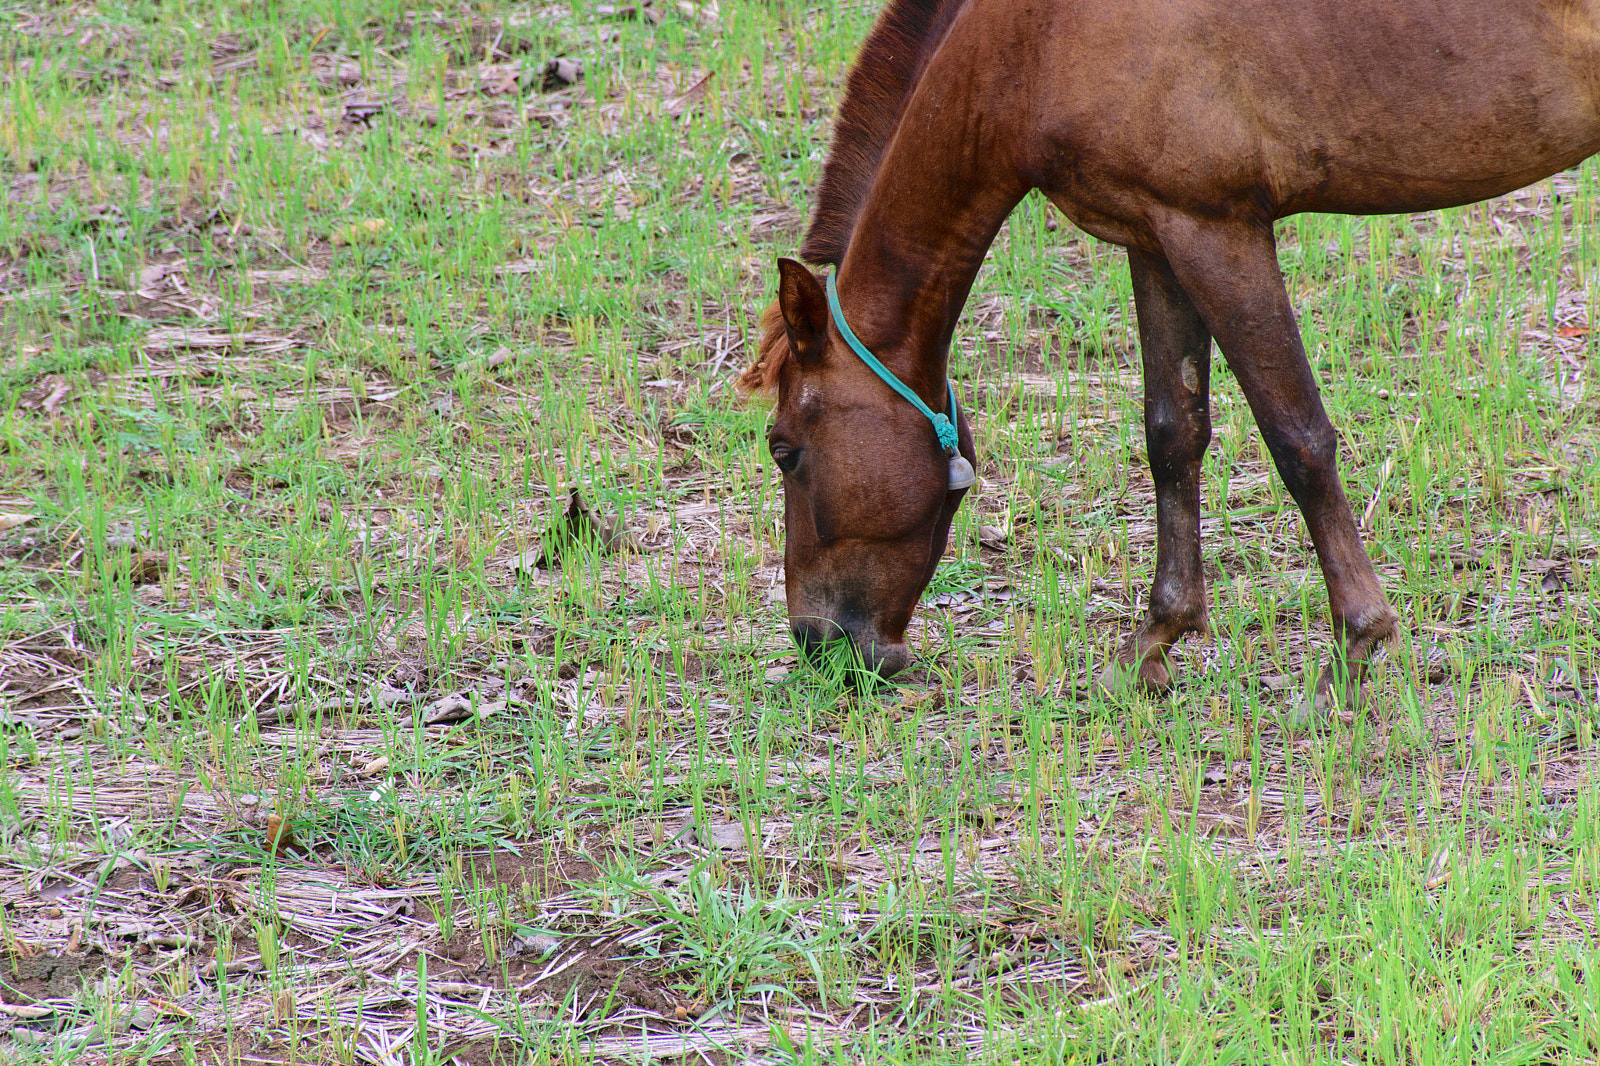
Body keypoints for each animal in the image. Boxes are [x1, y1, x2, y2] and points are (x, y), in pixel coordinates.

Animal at [739, 0, 1600, 707]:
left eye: (785, 450)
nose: (818, 643)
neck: (1036, 36)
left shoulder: (1216, 230)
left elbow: (1297, 438)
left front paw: (1357, 647)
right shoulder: (1154, 234)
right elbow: (1173, 434)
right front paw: (1157, 639)